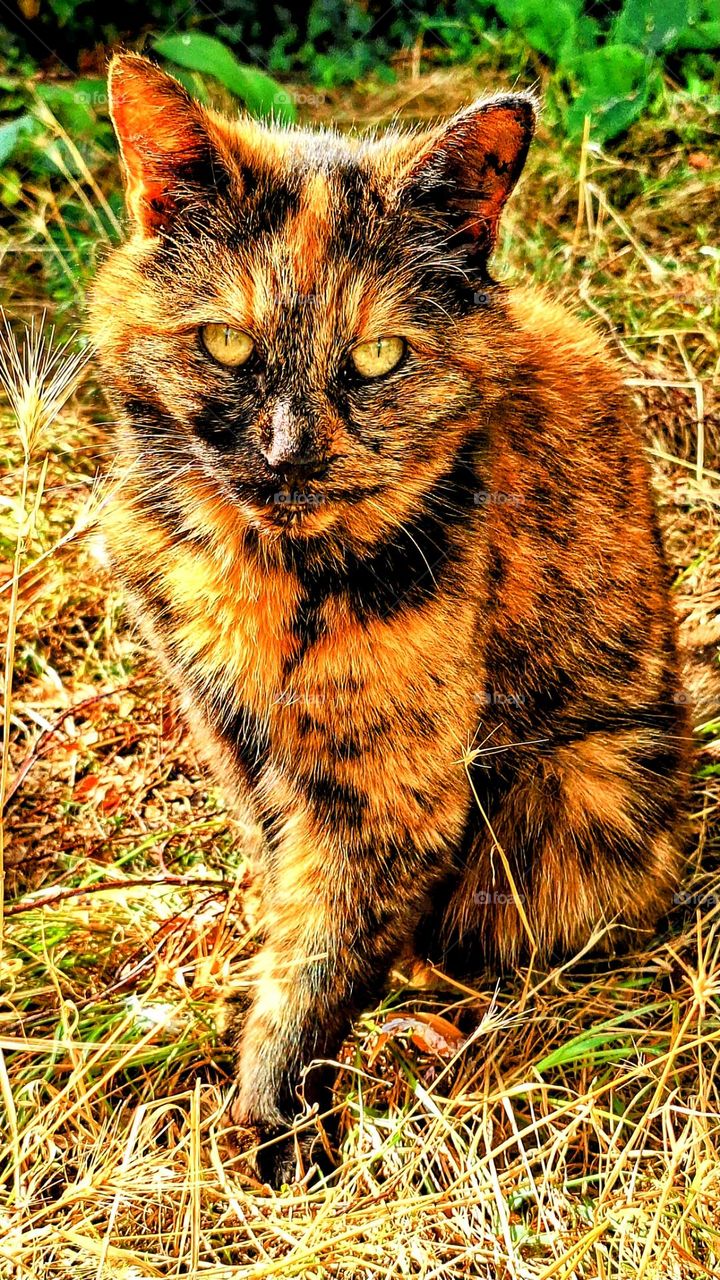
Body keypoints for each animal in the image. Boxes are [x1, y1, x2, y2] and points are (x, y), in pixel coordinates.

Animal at [90, 52, 691, 1187]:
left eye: (377, 357)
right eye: (225, 343)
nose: (287, 453)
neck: (261, 567)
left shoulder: (388, 792)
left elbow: (320, 956)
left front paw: (274, 1133)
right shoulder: (229, 729)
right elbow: (283, 876)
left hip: (581, 787)